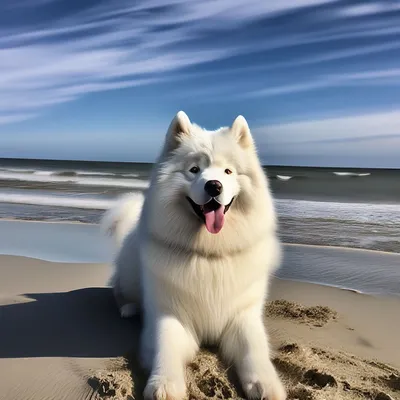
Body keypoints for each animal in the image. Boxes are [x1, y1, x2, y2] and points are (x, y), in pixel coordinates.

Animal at [101, 112, 286, 400]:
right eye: (194, 170)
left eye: (228, 171)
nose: (214, 186)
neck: (209, 254)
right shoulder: (170, 314)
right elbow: (165, 347)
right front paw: (164, 384)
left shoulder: (243, 315)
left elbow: (253, 349)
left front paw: (266, 383)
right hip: (131, 274)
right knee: (119, 290)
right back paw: (129, 308)